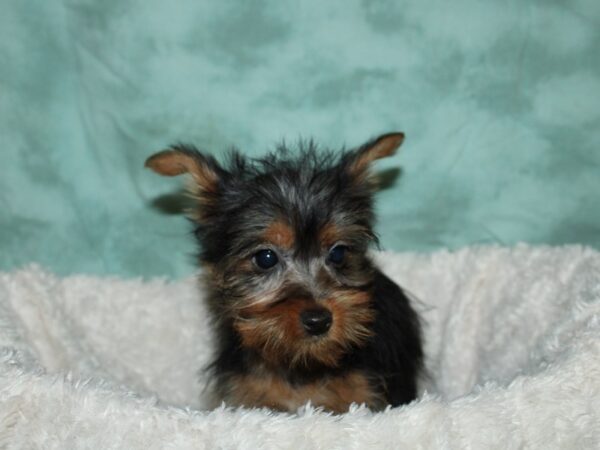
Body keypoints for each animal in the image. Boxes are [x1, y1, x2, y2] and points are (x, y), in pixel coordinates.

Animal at [145, 132, 422, 414]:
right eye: (265, 258)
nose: (318, 320)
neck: (300, 361)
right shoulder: (249, 396)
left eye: (338, 254)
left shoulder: (363, 393)